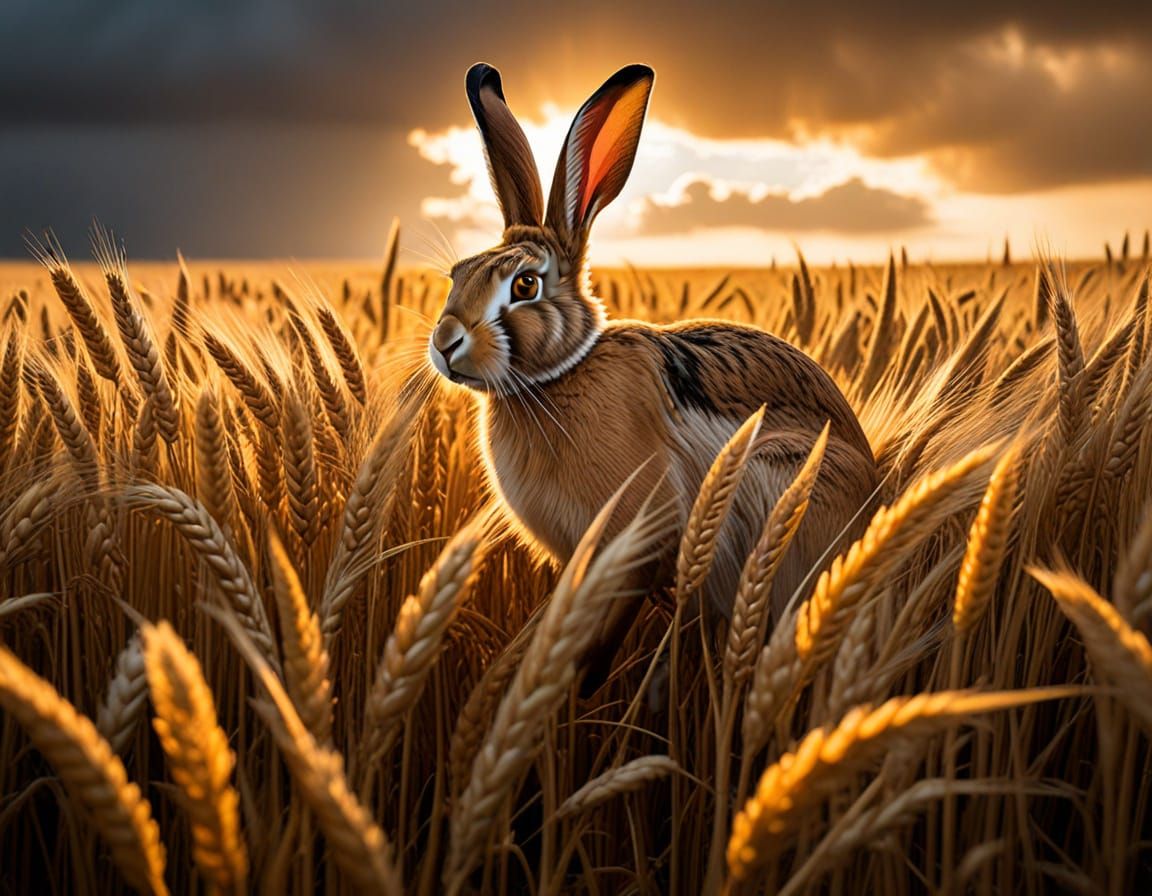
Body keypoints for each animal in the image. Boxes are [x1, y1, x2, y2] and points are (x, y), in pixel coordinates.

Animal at [428, 62, 881, 691]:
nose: (446, 344)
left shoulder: (640, 532)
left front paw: (577, 685)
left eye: (525, 285)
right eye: (459, 273)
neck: (555, 378)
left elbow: (608, 622)